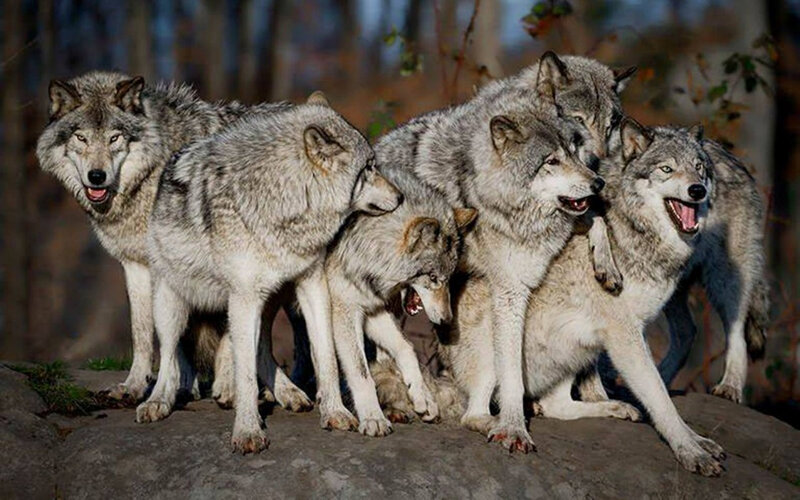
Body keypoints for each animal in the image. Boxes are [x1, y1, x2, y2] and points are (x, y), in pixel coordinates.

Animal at [35, 72, 306, 403]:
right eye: (81, 138)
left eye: (114, 138)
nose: (96, 177)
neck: (151, 176)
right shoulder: (137, 266)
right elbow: (146, 330)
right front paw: (144, 386)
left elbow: (227, 330)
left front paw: (227, 386)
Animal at [136, 93, 403, 453]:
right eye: (370, 167)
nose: (401, 196)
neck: (284, 203)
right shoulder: (245, 297)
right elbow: (246, 376)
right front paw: (248, 431)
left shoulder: (312, 285)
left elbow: (326, 358)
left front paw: (335, 412)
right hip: (173, 305)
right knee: (168, 356)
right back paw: (158, 401)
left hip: (267, 301)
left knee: (259, 348)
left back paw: (289, 393)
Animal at [325, 162, 477, 436]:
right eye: (433, 278)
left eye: (448, 279)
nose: (446, 320)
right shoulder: (345, 311)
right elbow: (362, 373)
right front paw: (373, 418)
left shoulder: (372, 309)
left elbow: (406, 347)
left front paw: (422, 397)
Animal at [443, 120, 727, 475]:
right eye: (667, 169)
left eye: (699, 168)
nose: (697, 191)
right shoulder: (624, 334)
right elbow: (660, 398)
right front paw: (691, 451)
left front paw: (696, 443)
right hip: (498, 352)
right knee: (473, 415)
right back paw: (501, 424)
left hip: (574, 350)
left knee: (557, 406)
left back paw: (610, 407)